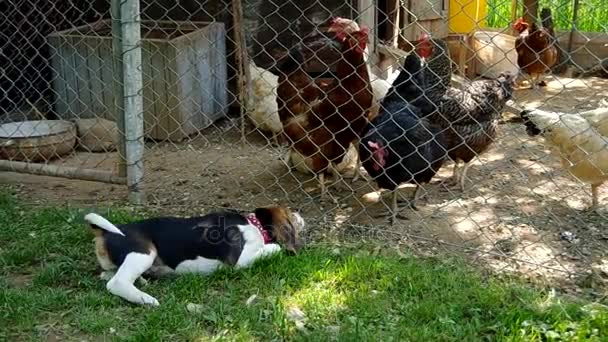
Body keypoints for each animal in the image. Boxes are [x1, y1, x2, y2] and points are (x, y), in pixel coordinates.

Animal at [85, 207, 304, 306]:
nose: (300, 214)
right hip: (144, 252)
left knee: (109, 275)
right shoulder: (240, 261)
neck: (254, 224)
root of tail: (105, 232)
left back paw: (143, 282)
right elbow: (274, 248)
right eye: (290, 214)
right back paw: (146, 299)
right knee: (115, 283)